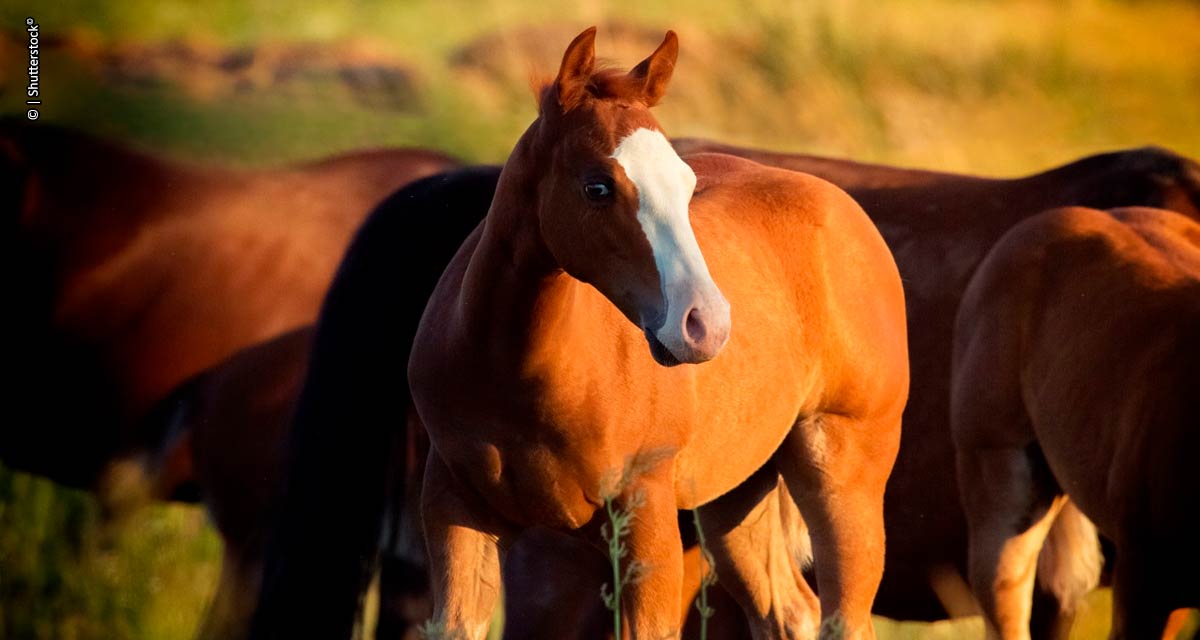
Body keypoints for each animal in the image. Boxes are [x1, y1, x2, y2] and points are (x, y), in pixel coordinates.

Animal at [408, 30, 902, 638]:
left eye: (687, 184)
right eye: (598, 187)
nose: (706, 324)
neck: (515, 371)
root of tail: (841, 206)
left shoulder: (645, 510)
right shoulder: (455, 510)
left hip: (843, 472)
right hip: (736, 495)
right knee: (790, 611)